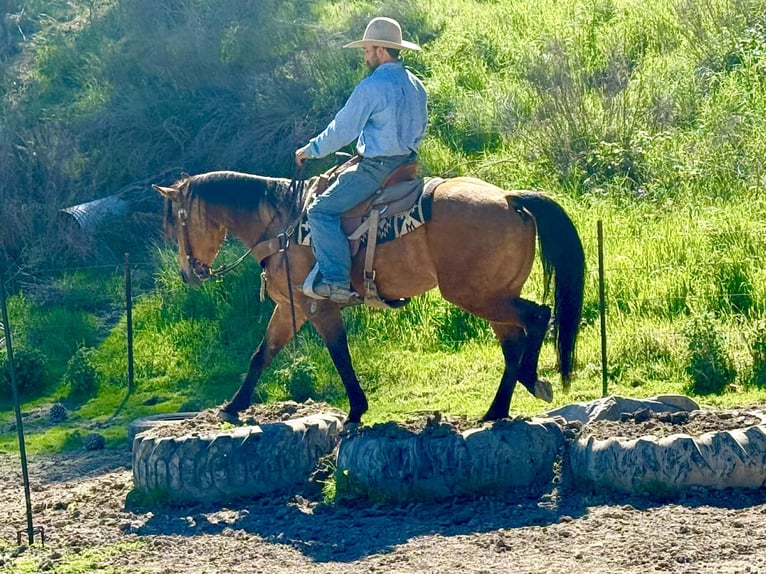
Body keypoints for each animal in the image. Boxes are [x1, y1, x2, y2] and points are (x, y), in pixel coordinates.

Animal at [153, 169, 585, 424]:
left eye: (174, 225)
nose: (188, 273)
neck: (282, 226)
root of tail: (510, 199)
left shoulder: (318, 306)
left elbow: (340, 355)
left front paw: (356, 410)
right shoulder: (290, 309)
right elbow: (262, 354)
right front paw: (233, 406)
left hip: (477, 295)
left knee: (537, 317)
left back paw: (531, 381)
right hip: (493, 296)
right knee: (513, 344)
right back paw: (495, 412)